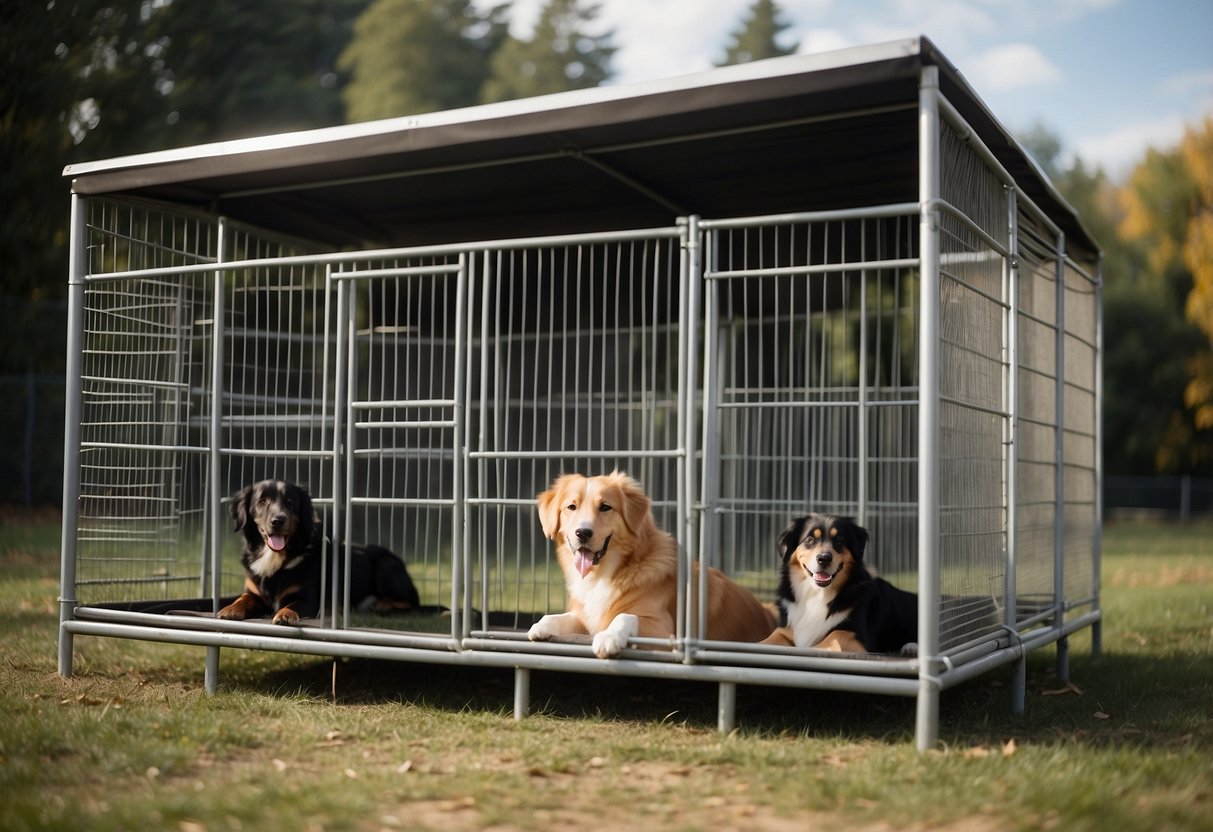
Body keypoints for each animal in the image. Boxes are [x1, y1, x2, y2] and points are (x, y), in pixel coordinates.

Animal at [218, 482, 422, 625]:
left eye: (290, 502)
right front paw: (230, 609)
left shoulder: (307, 600)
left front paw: (285, 615)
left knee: (413, 603)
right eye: (262, 501)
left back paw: (382, 604)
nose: (278, 520)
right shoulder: (255, 593)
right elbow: (244, 598)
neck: (276, 558)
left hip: (385, 566)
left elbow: (292, 604)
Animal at [526, 473, 771, 659]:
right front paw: (540, 626)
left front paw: (608, 637)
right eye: (571, 507)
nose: (583, 533)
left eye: (605, 507)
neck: (604, 574)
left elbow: (624, 616)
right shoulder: (588, 617)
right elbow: (559, 616)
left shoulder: (665, 632)